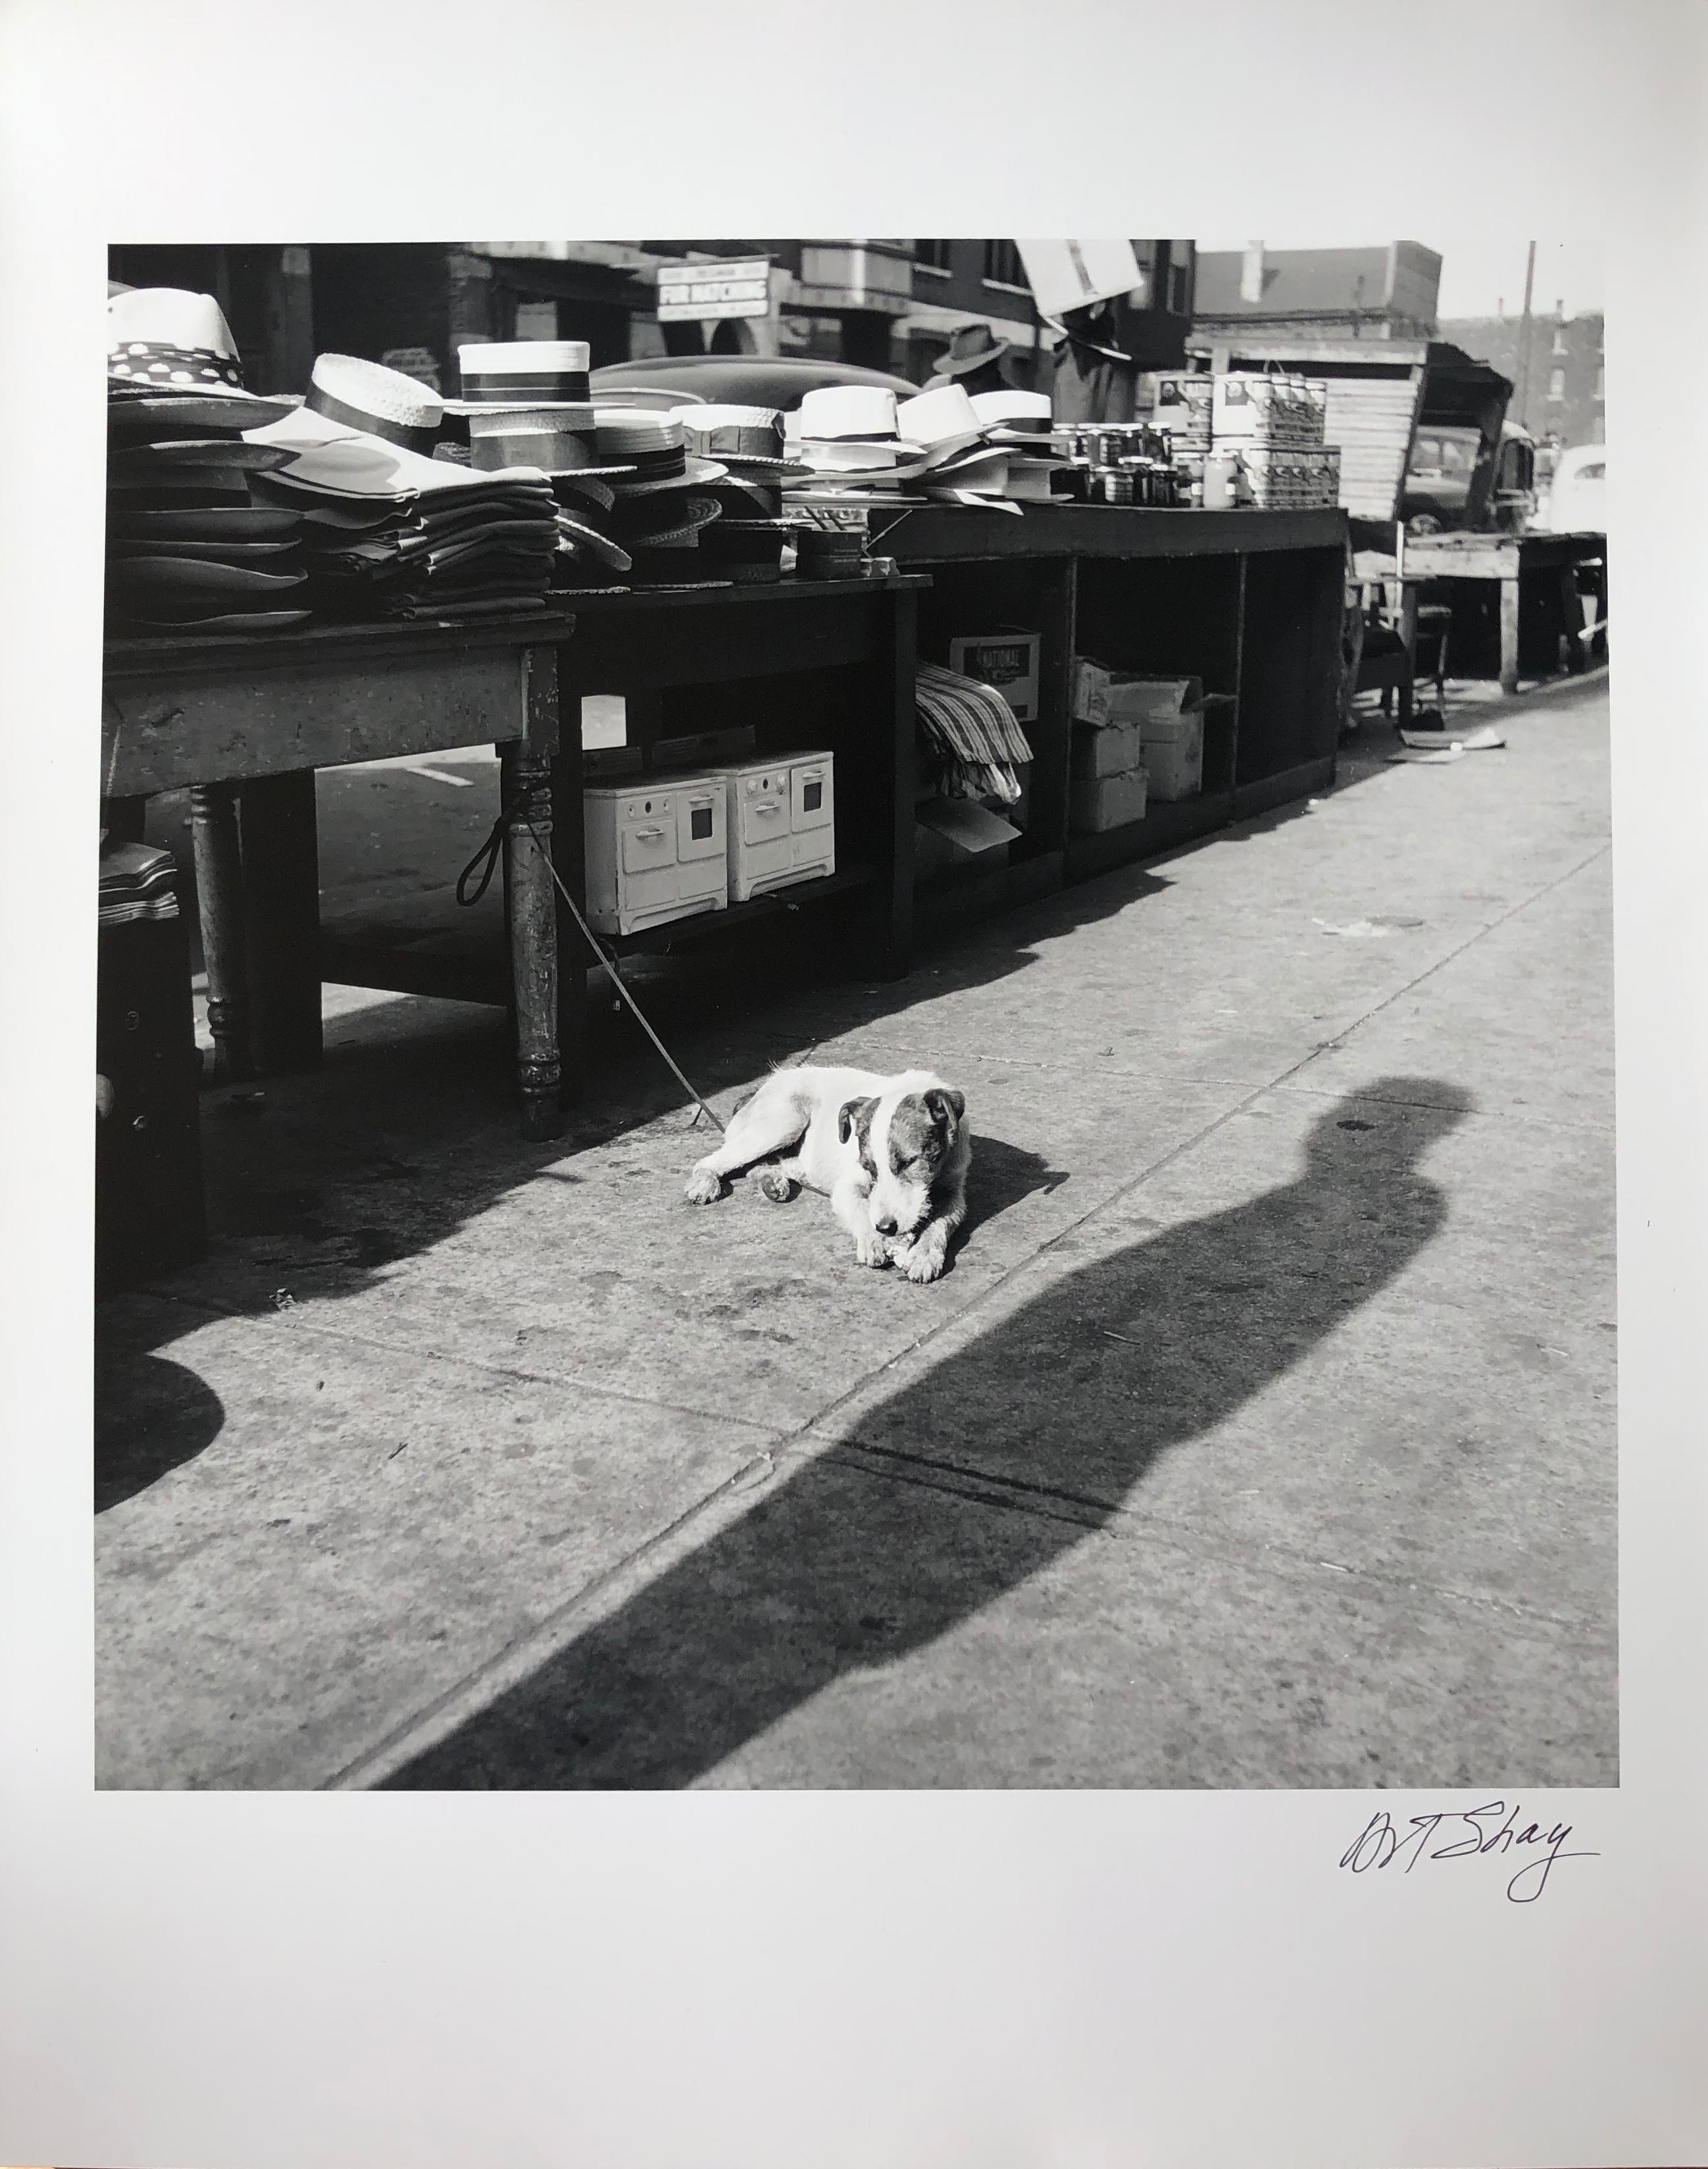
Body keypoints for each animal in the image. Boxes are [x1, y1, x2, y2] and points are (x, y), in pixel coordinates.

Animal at [686, 1067, 976, 1284]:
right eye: (869, 1167)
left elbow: (940, 1224)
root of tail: (758, 1091)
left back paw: (772, 1182)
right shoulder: (847, 1187)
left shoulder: (955, 1193)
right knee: (713, 1161)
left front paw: (924, 1255)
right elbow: (861, 1210)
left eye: (908, 1162)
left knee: (756, 1165)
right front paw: (874, 1241)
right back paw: (704, 1182)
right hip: (785, 1121)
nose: (886, 1228)